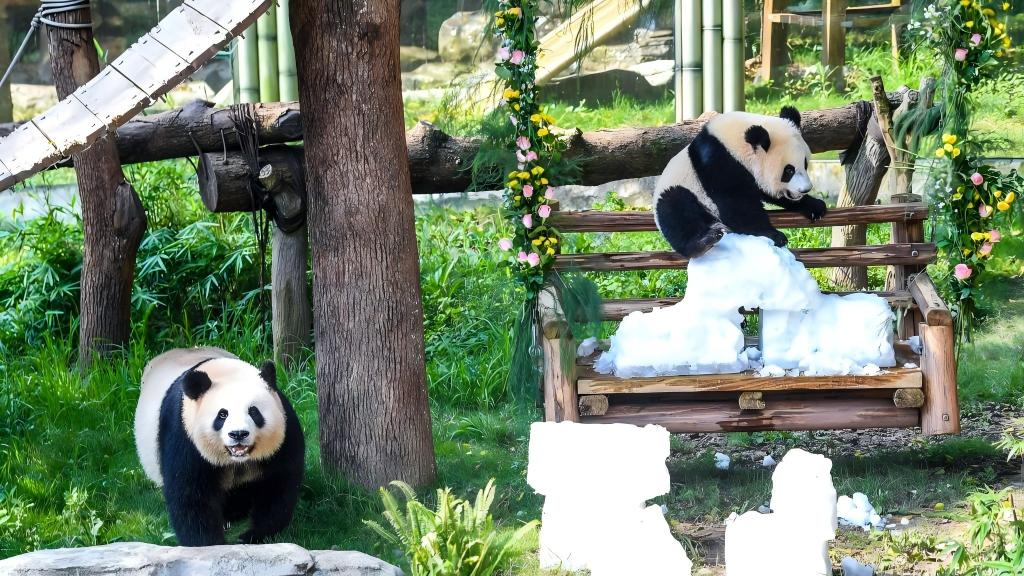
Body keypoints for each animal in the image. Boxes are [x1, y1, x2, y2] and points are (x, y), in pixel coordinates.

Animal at [134, 346, 304, 546]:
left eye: (253, 411)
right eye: (222, 415)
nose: (238, 434)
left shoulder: (284, 432)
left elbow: (277, 485)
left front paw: (251, 536)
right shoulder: (183, 433)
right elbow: (190, 493)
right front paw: (209, 544)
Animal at [653, 106, 827, 258]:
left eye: (805, 164)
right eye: (789, 171)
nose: (805, 189)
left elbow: (766, 193)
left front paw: (815, 206)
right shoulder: (718, 161)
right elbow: (736, 205)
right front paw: (774, 235)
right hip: (681, 189)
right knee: (676, 209)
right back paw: (704, 241)